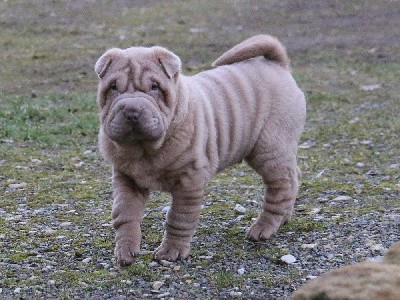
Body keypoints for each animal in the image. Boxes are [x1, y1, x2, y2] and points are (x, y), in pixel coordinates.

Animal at [94, 35, 306, 264]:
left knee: (281, 186)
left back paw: (263, 228)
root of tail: (277, 64)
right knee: (293, 176)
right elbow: (125, 214)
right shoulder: (126, 179)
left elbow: (179, 218)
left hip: (269, 149)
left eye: (155, 87)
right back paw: (284, 218)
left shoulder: (189, 181)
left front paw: (171, 251)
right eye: (113, 87)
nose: (132, 111)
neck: (145, 149)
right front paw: (125, 251)